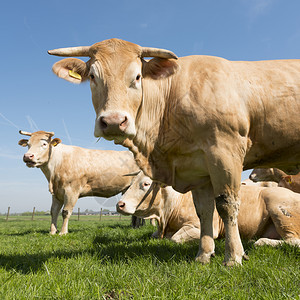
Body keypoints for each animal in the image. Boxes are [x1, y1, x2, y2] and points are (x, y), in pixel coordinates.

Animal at [116, 172, 300, 247]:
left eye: (146, 184)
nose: (120, 204)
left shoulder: (201, 226)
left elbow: (175, 239)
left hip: (280, 211)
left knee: (293, 240)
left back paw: (260, 241)